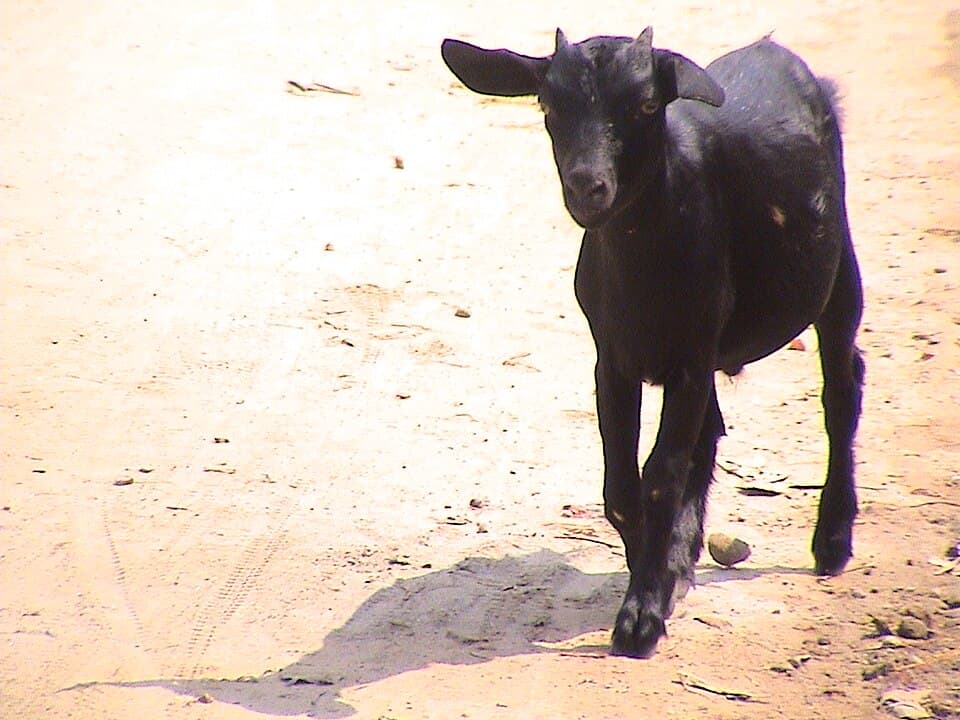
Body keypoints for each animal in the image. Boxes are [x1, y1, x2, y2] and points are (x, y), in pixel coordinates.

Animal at [441, 28, 865, 657]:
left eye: (645, 106)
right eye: (548, 105)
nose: (588, 186)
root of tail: (775, 50)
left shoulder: (691, 353)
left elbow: (660, 477)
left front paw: (641, 615)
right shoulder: (613, 359)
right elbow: (624, 486)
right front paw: (655, 574)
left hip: (837, 273)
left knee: (842, 388)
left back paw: (833, 539)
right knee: (708, 434)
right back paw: (684, 557)